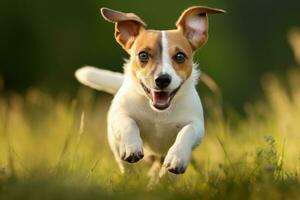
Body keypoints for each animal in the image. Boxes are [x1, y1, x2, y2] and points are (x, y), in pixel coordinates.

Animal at [75, 5, 225, 177]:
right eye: (143, 55)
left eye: (180, 56)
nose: (163, 79)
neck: (158, 113)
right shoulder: (119, 114)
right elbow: (128, 122)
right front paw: (132, 147)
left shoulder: (197, 124)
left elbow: (187, 132)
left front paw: (177, 157)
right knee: (127, 167)